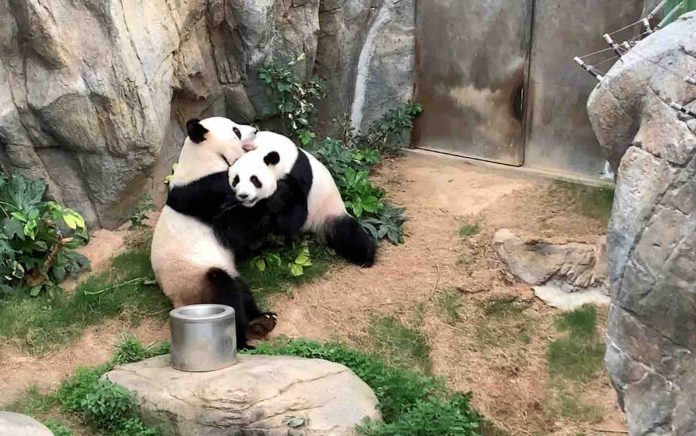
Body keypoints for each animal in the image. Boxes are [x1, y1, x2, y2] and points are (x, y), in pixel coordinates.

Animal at [150, 117, 276, 349]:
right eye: (236, 131)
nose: (255, 130)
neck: (204, 159)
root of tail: (178, 303)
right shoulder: (206, 192)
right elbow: (235, 228)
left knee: (241, 289)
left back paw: (262, 321)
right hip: (195, 280)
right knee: (225, 291)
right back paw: (242, 339)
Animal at [225, 131, 376, 267]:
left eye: (254, 180)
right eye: (236, 180)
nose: (243, 195)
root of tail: (314, 231)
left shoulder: (298, 175)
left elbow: (295, 216)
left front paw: (274, 205)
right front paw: (260, 217)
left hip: (328, 212)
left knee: (349, 234)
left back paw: (366, 258)